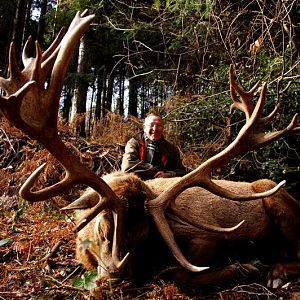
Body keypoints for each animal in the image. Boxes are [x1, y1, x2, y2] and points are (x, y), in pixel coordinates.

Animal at [0, 10, 300, 290]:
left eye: (143, 237)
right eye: (103, 230)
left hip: (274, 195)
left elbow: (179, 273)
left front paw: (244, 267)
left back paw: (275, 272)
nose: (115, 279)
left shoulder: (207, 237)